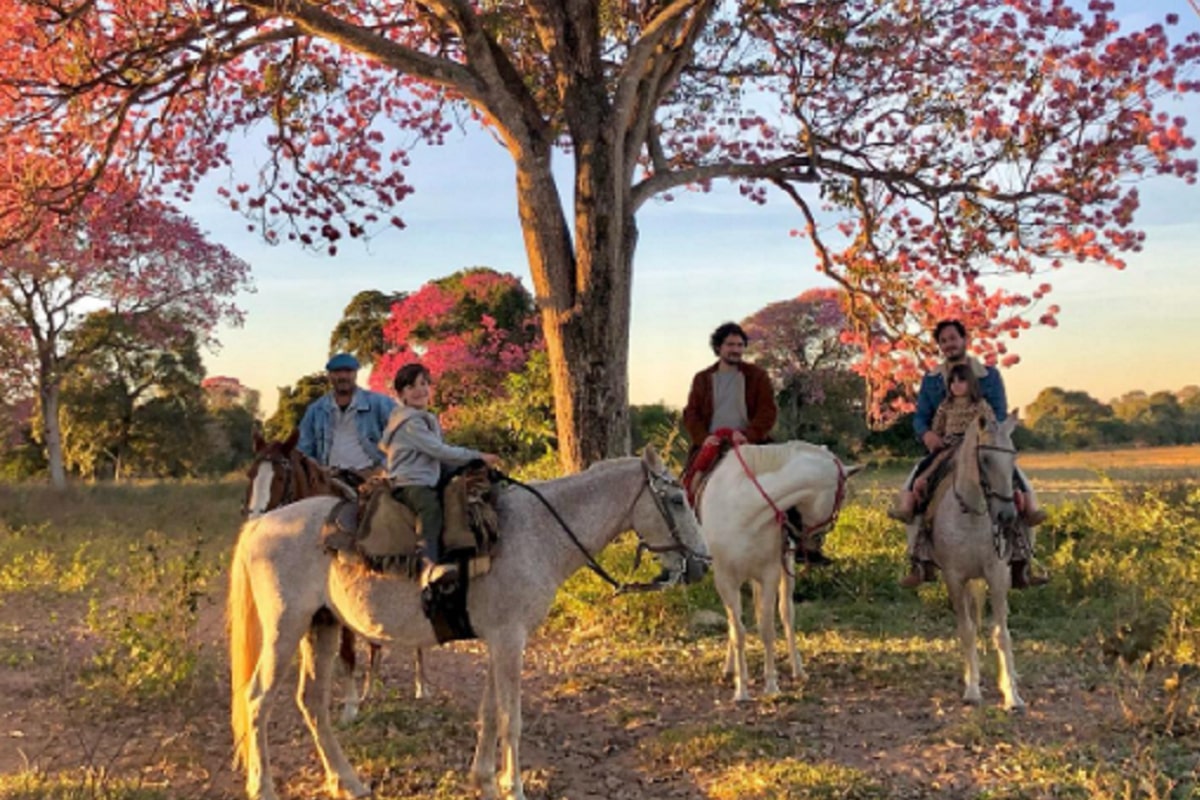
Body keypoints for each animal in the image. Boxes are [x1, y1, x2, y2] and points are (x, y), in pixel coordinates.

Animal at [226, 450, 700, 800]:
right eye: (676, 501)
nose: (700, 564)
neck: (537, 531)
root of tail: (262, 524)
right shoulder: (510, 640)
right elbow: (511, 718)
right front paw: (513, 788)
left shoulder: (498, 640)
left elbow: (489, 713)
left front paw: (484, 781)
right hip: (284, 628)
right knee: (257, 700)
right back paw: (264, 788)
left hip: (320, 627)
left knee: (311, 702)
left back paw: (350, 783)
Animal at [700, 441, 864, 705]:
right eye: (842, 495)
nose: (815, 543)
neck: (744, 509)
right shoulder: (725, 581)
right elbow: (738, 631)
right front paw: (741, 689)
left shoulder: (769, 575)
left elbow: (767, 629)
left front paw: (771, 685)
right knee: (736, 623)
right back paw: (730, 668)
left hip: (782, 573)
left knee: (786, 614)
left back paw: (798, 670)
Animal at [921, 417, 1027, 710]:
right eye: (986, 459)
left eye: (1013, 457)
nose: (1007, 516)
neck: (971, 516)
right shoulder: (954, 578)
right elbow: (967, 631)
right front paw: (972, 689)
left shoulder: (997, 575)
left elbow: (1002, 633)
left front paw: (1012, 695)